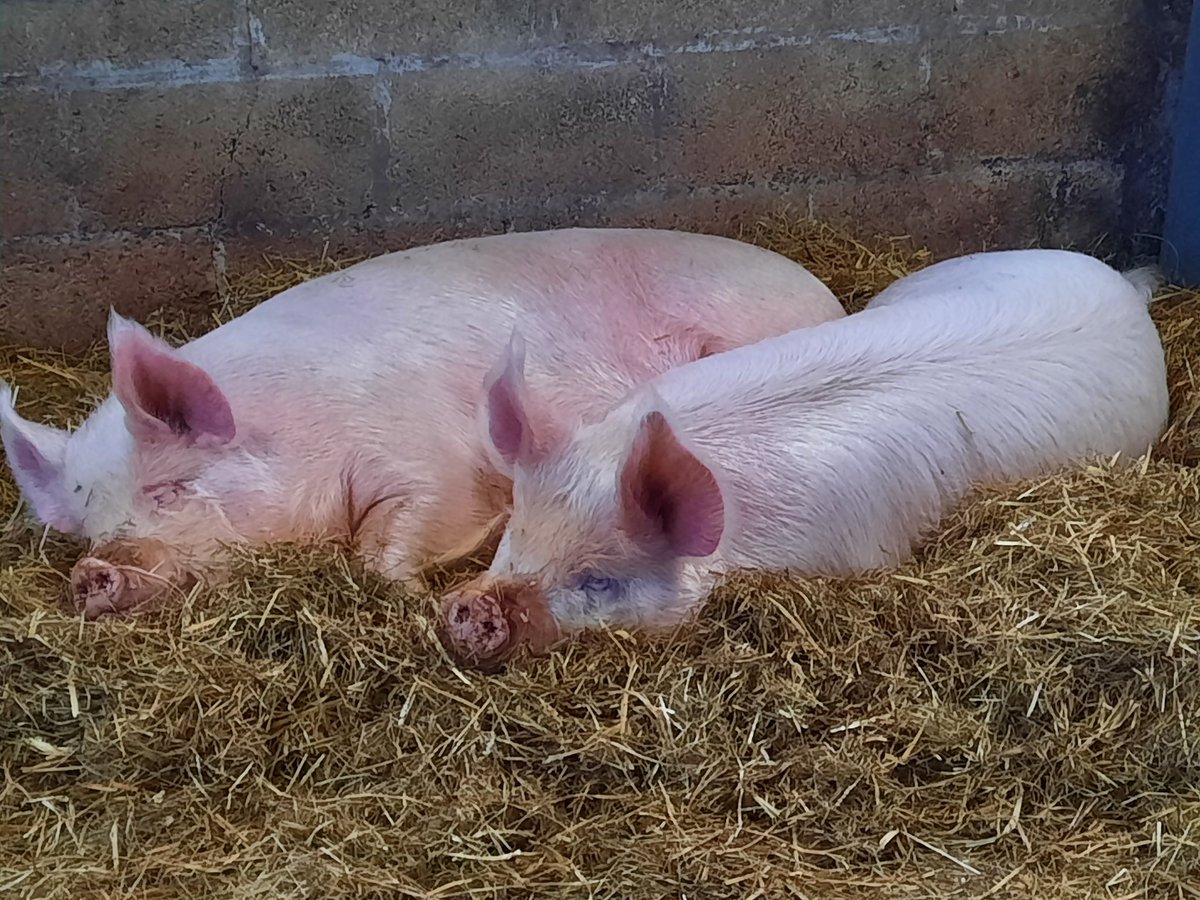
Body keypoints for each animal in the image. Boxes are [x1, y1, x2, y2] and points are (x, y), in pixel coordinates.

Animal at [0, 227, 844, 617]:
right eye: (87, 520)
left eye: (170, 489)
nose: (94, 570)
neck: (298, 428)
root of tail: (824, 293)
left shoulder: (432, 461)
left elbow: (391, 542)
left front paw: (413, 590)